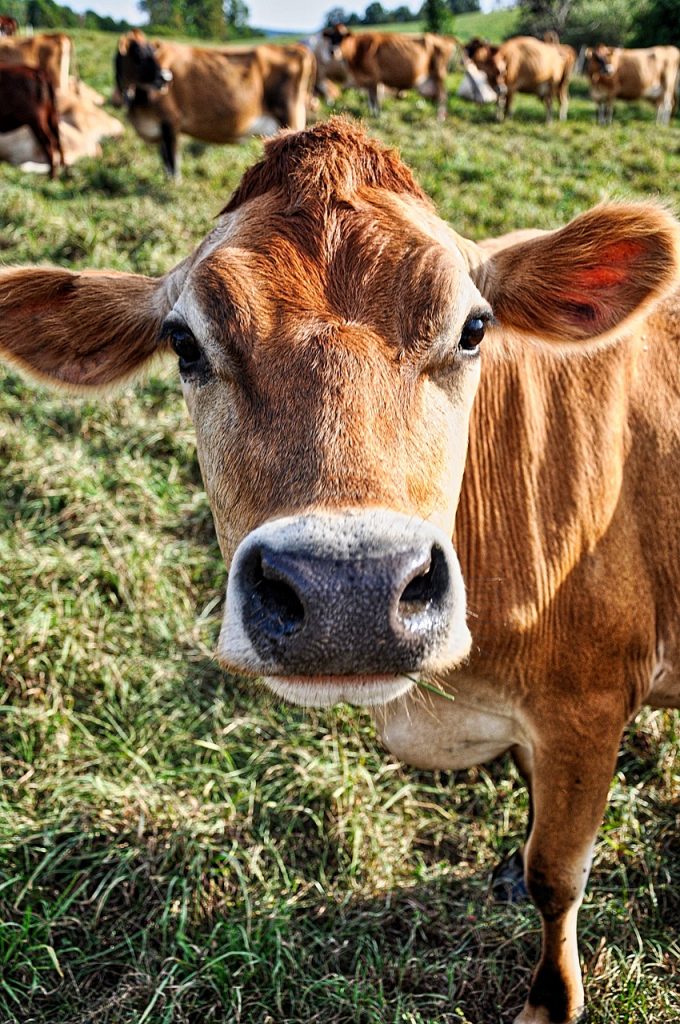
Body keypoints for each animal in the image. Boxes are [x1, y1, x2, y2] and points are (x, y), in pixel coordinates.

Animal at [0, 119, 679, 1023]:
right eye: (183, 342)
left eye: (474, 328)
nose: (348, 591)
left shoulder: (591, 704)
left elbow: (556, 874)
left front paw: (549, 999)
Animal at [114, 30, 315, 178]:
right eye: (138, 55)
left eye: (152, 52)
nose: (166, 77)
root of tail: (297, 48)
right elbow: (165, 160)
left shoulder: (170, 122)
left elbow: (172, 163)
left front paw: (173, 185)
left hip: (290, 117)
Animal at [322, 24, 457, 118]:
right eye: (331, 37)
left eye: (342, 37)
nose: (332, 51)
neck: (356, 50)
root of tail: (443, 38)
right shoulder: (369, 80)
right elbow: (371, 99)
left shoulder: (373, 78)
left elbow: (374, 99)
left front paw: (376, 115)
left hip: (439, 74)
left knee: (443, 97)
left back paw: (440, 118)